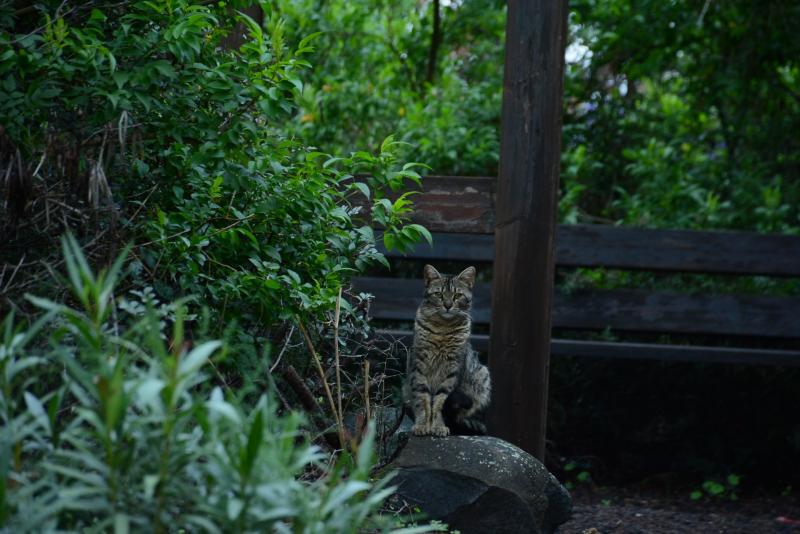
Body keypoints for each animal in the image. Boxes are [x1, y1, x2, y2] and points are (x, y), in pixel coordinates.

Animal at [404, 266, 490, 438]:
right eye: (439, 294)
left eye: (457, 295)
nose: (448, 305)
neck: (442, 329)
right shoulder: (419, 365)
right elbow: (422, 398)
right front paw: (422, 424)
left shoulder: (452, 369)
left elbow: (440, 401)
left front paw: (437, 426)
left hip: (482, 377)